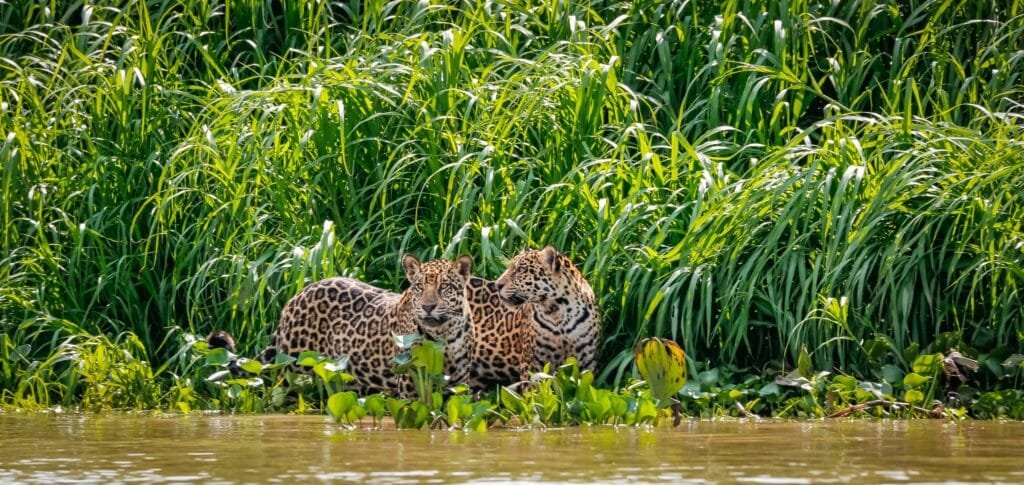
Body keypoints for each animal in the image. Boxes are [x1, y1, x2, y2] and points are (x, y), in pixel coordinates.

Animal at [213, 255, 475, 395]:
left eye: (444, 287)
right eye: (419, 287)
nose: (428, 306)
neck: (443, 335)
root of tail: (297, 295)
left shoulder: (459, 383)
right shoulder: (411, 380)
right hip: (292, 368)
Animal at [466, 246, 601, 391]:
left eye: (521, 270)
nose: (497, 285)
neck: (558, 313)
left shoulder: (586, 363)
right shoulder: (532, 364)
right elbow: (534, 393)